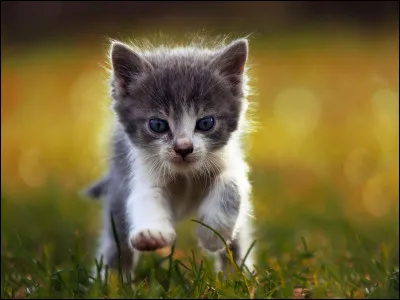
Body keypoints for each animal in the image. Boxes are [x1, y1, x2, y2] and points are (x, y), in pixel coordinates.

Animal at [85, 37, 256, 282]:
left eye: (206, 123)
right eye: (158, 125)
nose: (183, 148)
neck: (185, 176)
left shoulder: (231, 161)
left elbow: (232, 184)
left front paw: (213, 234)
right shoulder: (140, 172)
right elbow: (145, 197)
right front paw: (151, 234)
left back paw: (238, 276)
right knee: (115, 245)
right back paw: (110, 281)